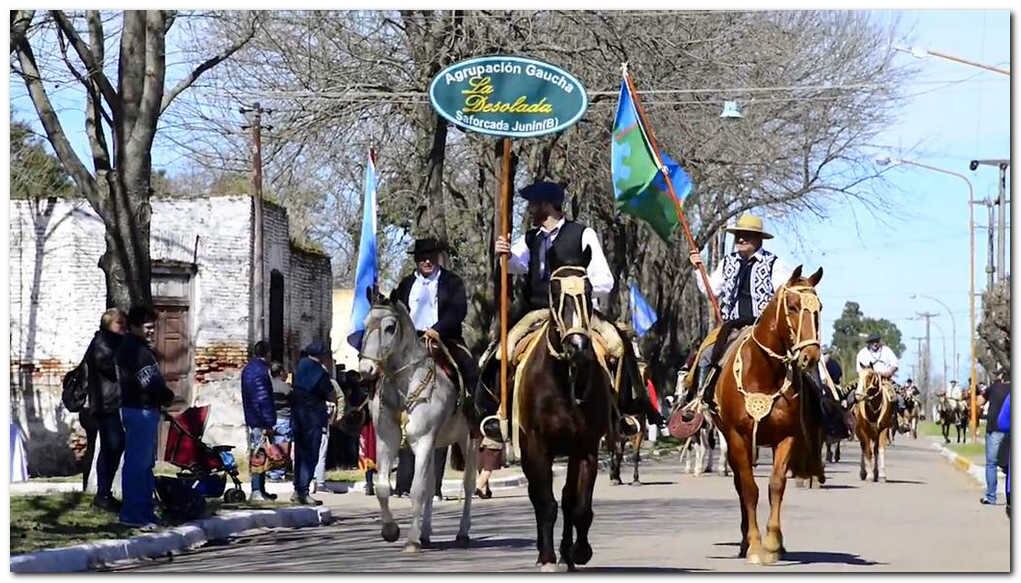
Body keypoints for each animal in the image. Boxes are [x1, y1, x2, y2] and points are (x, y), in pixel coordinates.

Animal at [355, 294, 477, 555]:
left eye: (390, 327)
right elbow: (383, 487)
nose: (366, 371)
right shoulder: (386, 440)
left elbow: (417, 490)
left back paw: (462, 532)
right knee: (432, 486)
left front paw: (411, 541)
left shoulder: (423, 441)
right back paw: (427, 533)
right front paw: (391, 531)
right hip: (437, 445)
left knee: (468, 484)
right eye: (365, 323)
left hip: (468, 439)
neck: (404, 386)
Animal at [518, 254, 612, 571]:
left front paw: (578, 552)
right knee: (537, 495)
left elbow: (578, 505)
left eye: (589, 290)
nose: (578, 347)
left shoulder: (585, 447)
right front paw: (547, 558)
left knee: (569, 498)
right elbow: (545, 502)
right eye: (554, 291)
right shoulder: (537, 445)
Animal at [714, 267, 824, 567]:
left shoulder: (786, 437)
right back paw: (744, 542)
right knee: (740, 486)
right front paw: (755, 546)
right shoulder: (738, 438)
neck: (762, 372)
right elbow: (749, 489)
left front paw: (774, 542)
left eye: (819, 308)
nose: (810, 356)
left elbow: (776, 485)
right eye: (794, 306)